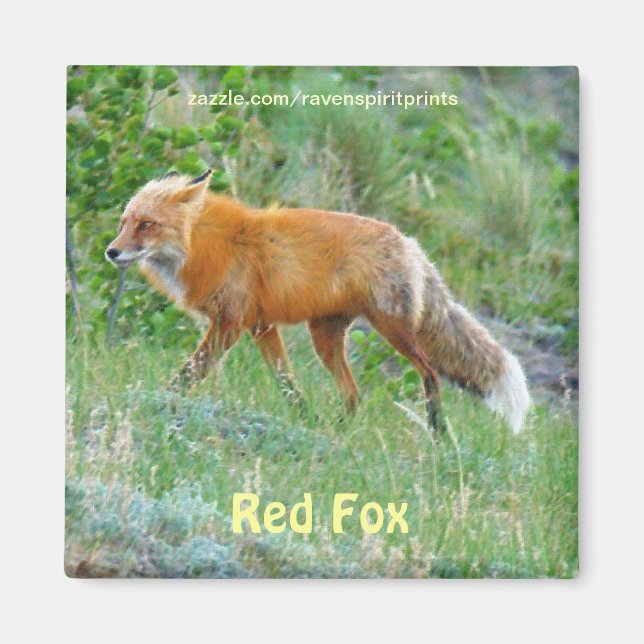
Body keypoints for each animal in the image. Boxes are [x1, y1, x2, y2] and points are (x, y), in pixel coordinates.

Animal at [105, 169, 531, 434]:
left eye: (146, 224)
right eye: (123, 223)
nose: (111, 252)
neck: (206, 246)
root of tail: (410, 243)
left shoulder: (231, 323)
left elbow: (190, 373)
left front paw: (158, 400)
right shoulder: (261, 326)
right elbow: (286, 383)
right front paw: (307, 420)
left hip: (393, 329)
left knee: (430, 374)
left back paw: (439, 432)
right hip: (325, 337)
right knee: (354, 394)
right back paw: (340, 430)